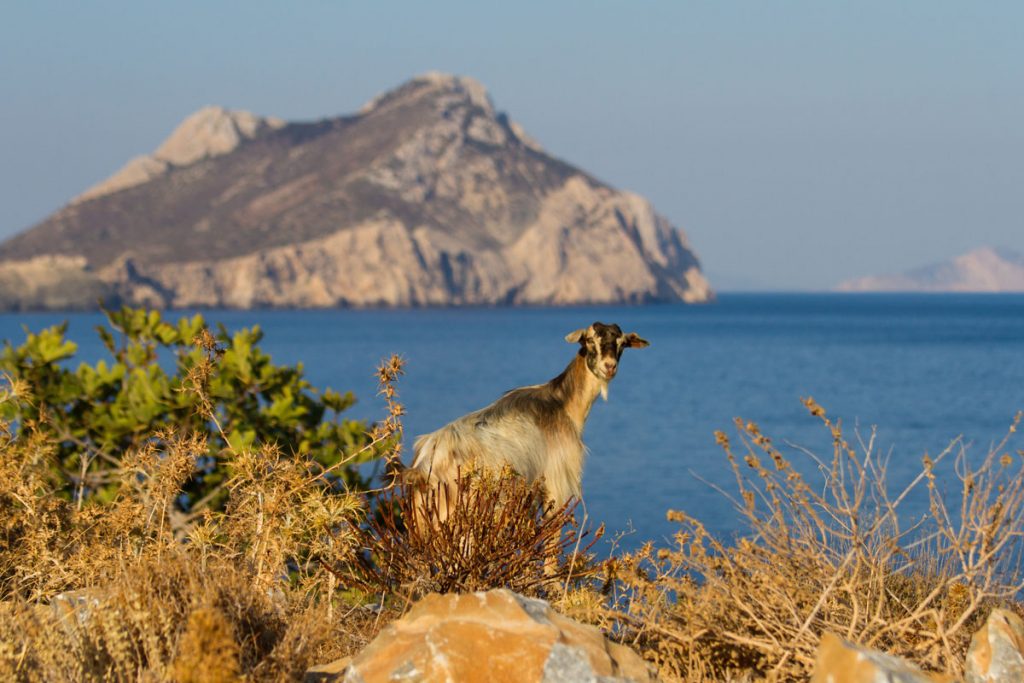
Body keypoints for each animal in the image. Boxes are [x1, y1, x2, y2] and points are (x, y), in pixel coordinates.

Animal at [407, 323, 647, 509]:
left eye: (622, 343)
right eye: (589, 341)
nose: (609, 366)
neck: (562, 402)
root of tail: (423, 465)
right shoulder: (556, 483)